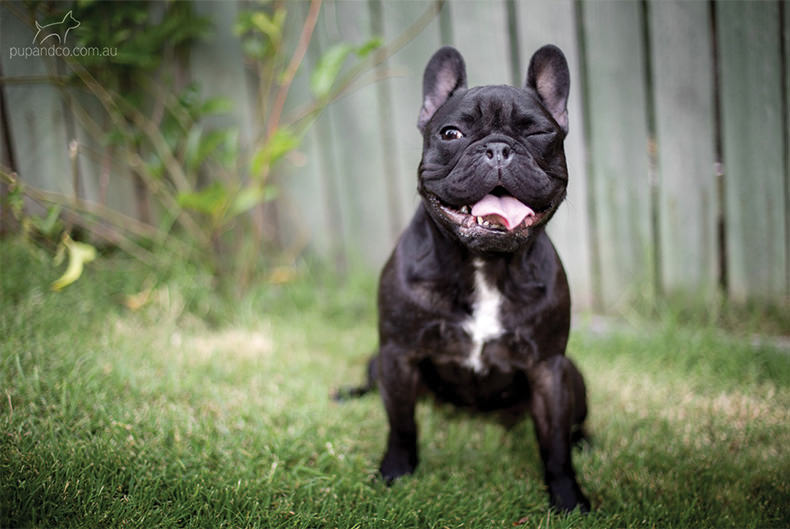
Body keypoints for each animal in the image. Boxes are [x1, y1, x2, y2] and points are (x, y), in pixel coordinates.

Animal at [342, 44, 592, 512]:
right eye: (451, 133)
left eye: (538, 133)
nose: (497, 149)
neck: (484, 265)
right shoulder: (397, 355)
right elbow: (401, 425)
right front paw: (395, 473)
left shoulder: (548, 369)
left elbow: (555, 444)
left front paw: (568, 497)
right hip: (376, 361)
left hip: (572, 374)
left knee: (574, 423)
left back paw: (585, 440)